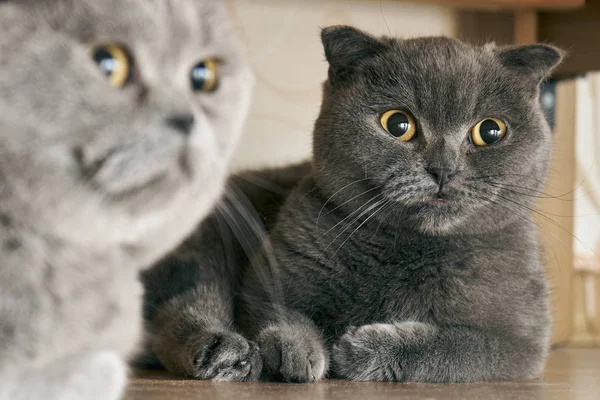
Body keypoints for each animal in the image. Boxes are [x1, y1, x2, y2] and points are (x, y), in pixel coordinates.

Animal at [141, 26, 564, 382]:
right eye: (397, 124)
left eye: (490, 131)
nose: (443, 169)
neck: (408, 247)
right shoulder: (268, 276)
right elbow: (278, 310)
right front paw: (296, 350)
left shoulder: (521, 343)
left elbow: (457, 347)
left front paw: (363, 349)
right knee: (184, 309)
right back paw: (226, 353)